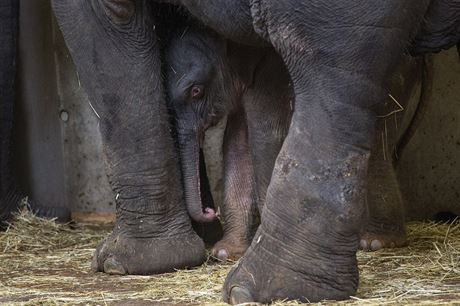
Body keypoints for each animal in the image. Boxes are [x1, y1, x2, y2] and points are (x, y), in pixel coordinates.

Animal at [167, 23, 292, 260]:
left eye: (196, 91)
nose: (209, 211)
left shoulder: (271, 72)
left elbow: (265, 135)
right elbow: (237, 143)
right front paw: (225, 252)